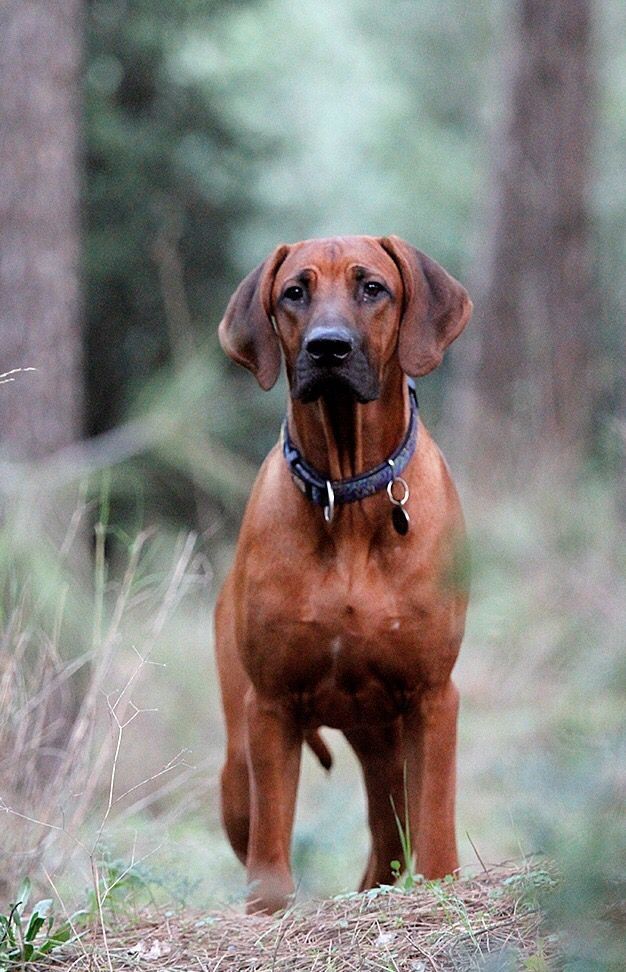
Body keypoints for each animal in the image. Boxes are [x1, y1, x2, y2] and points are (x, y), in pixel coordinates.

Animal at [213, 234, 468, 912]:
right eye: (294, 292)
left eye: (372, 288)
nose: (327, 347)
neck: (346, 495)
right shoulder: (271, 704)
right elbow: (271, 847)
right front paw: (269, 911)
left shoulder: (434, 696)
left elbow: (435, 827)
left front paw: (442, 890)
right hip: (238, 765)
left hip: (388, 737)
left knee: (391, 836)